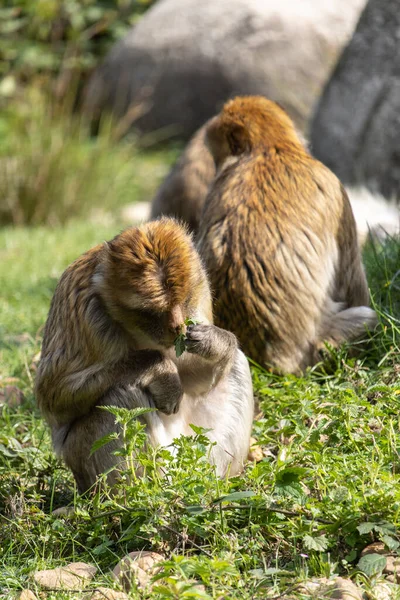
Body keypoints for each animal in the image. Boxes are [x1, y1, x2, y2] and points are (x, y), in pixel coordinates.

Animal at [34, 219, 253, 492]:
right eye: (152, 312)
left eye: (183, 300)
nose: (177, 327)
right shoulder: (85, 312)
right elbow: (54, 395)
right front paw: (161, 370)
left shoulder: (201, 293)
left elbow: (198, 379)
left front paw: (216, 342)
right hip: (85, 462)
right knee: (122, 397)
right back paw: (149, 490)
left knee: (237, 363)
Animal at [197, 95, 378, 372]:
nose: (215, 167)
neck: (269, 148)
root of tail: (275, 361)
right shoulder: (334, 188)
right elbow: (354, 288)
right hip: (317, 348)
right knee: (366, 317)